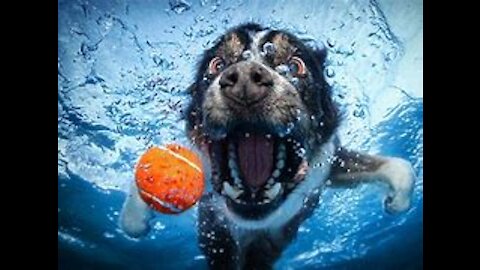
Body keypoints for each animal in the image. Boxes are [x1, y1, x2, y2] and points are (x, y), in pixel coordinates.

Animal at [121, 23, 416, 270]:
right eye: (217, 64)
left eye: (295, 66)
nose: (243, 79)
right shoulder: (211, 207)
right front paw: (135, 219)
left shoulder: (326, 167)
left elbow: (402, 166)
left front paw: (396, 201)